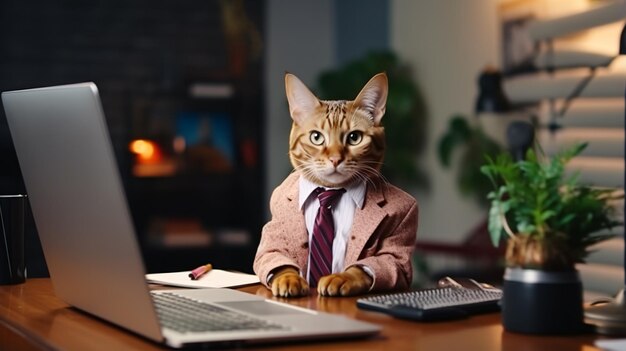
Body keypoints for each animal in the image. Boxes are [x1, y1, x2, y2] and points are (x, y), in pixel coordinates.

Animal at [251, 72, 416, 296]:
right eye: (316, 137)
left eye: (354, 137)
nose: (336, 159)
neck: (331, 191)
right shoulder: (272, 238)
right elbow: (276, 259)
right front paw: (288, 277)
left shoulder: (396, 257)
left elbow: (369, 266)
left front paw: (342, 277)